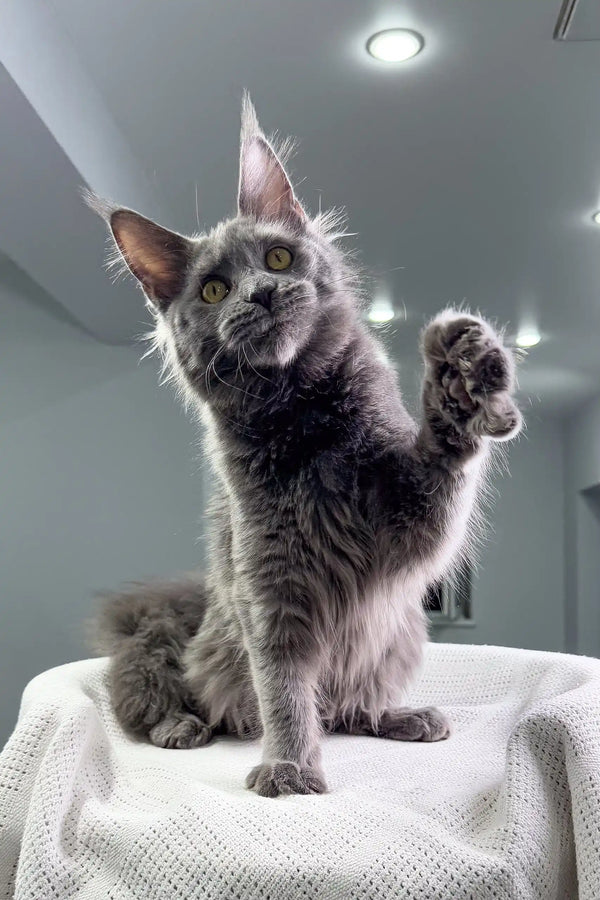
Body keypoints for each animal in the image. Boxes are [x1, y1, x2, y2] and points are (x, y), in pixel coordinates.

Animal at [88, 98, 520, 800]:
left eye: (279, 257)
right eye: (214, 290)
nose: (261, 292)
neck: (306, 420)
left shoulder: (411, 518)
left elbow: (446, 461)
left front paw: (463, 381)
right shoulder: (271, 584)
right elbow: (285, 688)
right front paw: (290, 768)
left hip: (398, 637)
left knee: (352, 708)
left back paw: (403, 717)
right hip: (157, 652)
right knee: (153, 699)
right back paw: (183, 727)